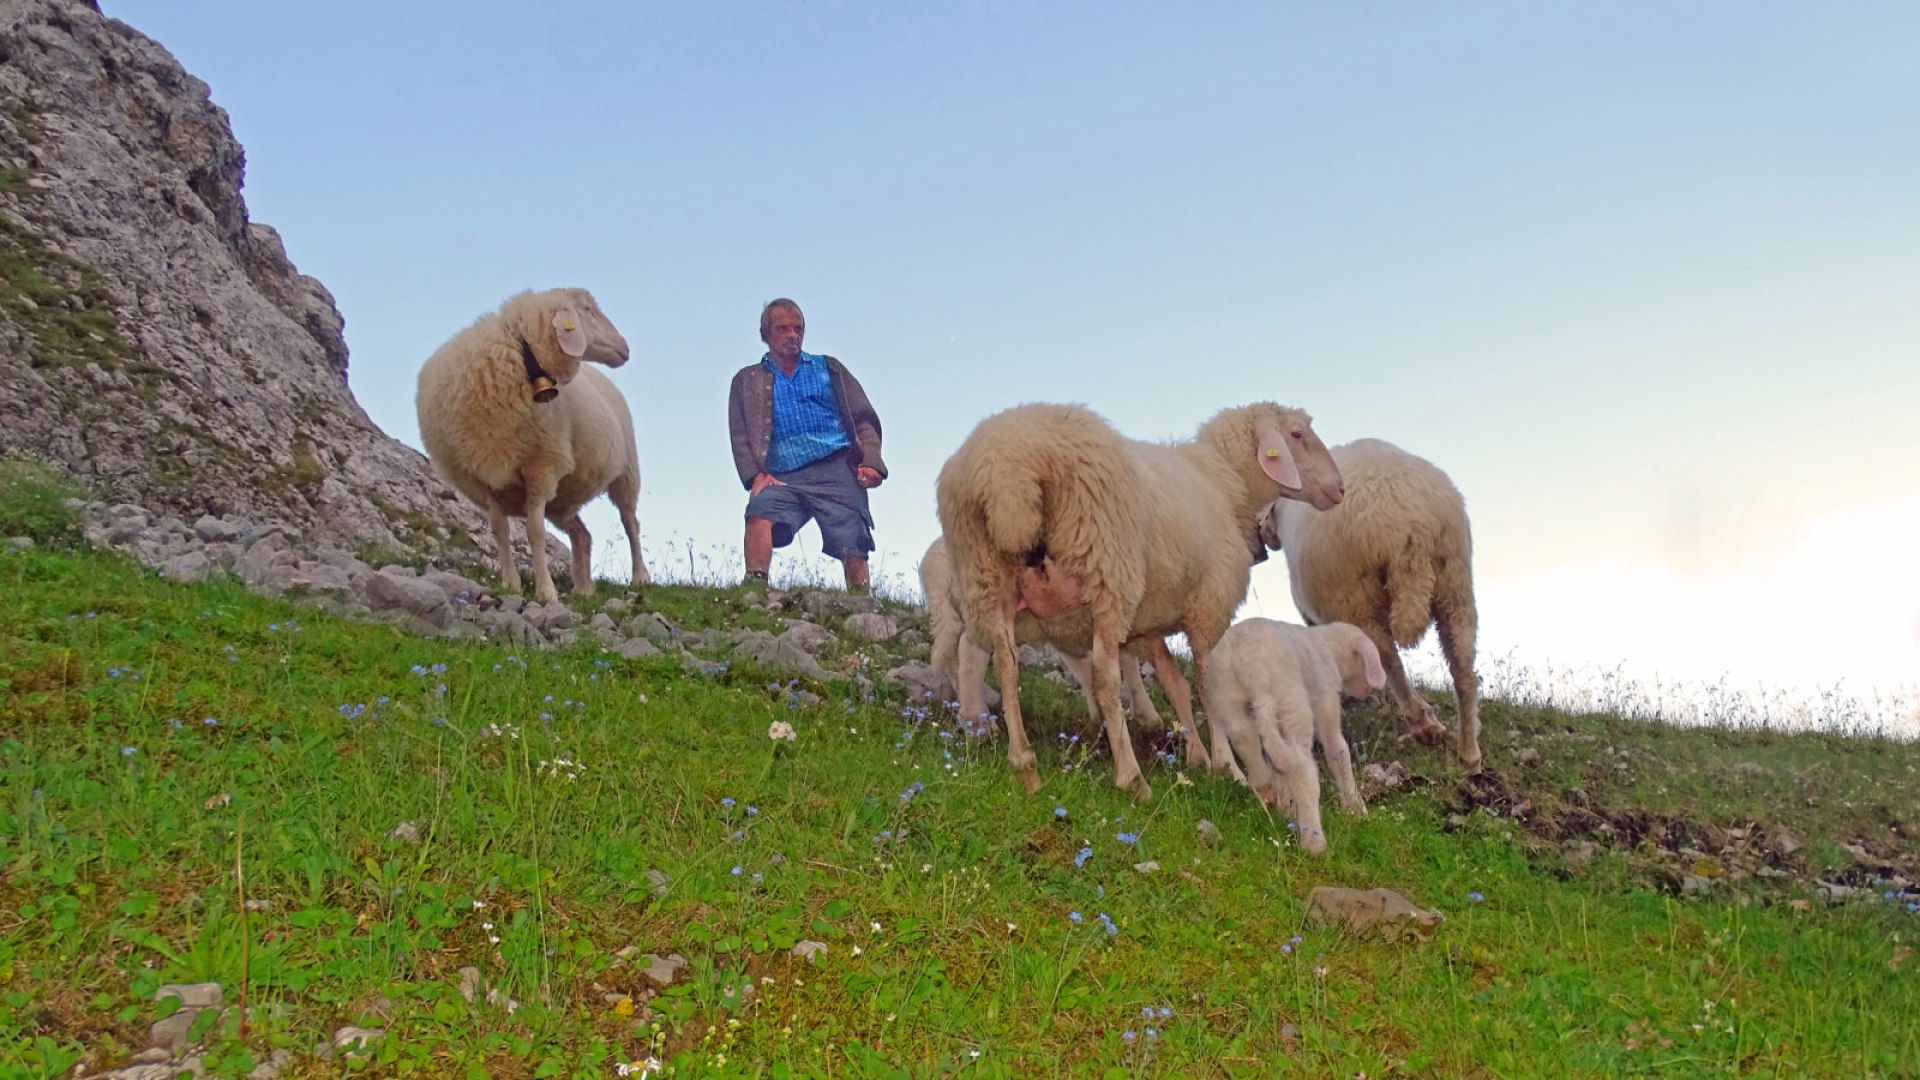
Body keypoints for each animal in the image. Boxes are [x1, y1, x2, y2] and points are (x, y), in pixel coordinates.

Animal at [412, 286, 652, 607]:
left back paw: (640, 578)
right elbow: (499, 530)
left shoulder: (541, 465)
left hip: (626, 472)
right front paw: (510, 583)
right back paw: (583, 587)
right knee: (582, 535)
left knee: (630, 524)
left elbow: (534, 532)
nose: (625, 347)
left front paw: (546, 591)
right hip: (564, 500)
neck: (519, 351)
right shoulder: (480, 474)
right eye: (588, 310)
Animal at [917, 530, 1167, 726]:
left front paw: (1101, 713)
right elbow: (1126, 662)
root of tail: (933, 565)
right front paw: (1148, 716)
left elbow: (1087, 668)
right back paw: (977, 720)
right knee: (968, 653)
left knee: (952, 655)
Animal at [1205, 614, 1390, 849]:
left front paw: (1286, 806)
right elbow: (1338, 751)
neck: (1328, 647)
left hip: (1228, 696)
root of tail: (1251, 667)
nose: (1369, 691)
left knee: (1246, 741)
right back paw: (1314, 842)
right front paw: (1358, 809)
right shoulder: (1325, 697)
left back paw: (1266, 787)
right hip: (1291, 700)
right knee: (1302, 771)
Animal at [1259, 438, 1482, 764]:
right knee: (1463, 669)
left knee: (1388, 660)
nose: (1261, 534)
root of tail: (1409, 527)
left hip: (1356, 598)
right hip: (1455, 584)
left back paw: (1423, 723)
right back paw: (1468, 751)